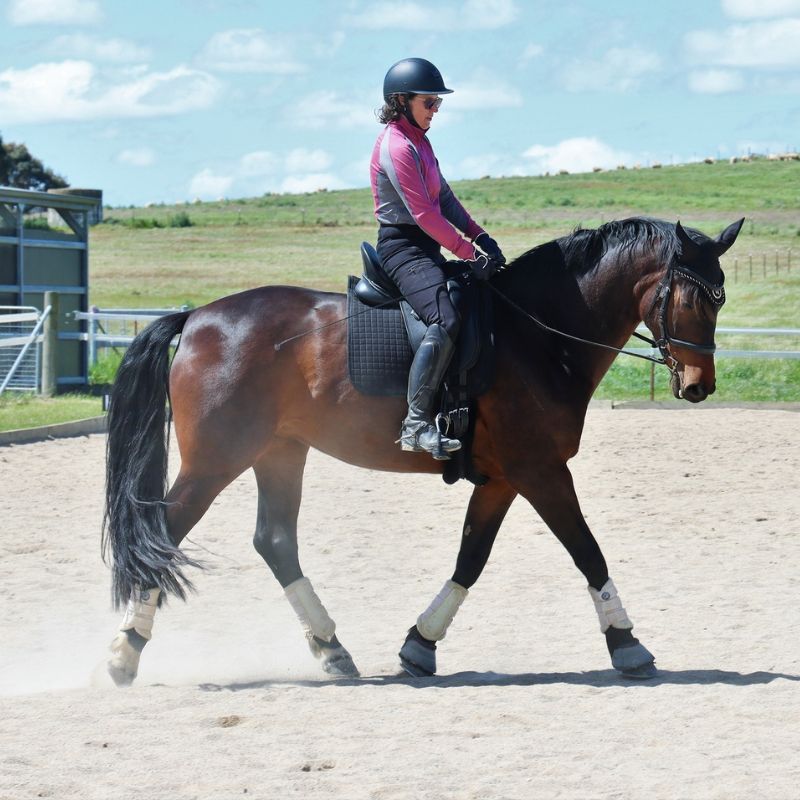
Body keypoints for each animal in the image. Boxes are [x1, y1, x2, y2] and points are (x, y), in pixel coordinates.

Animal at [104, 216, 744, 684]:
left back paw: (331, 648)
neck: (535, 336)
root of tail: (197, 317)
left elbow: (471, 559)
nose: (699, 386)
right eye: (700, 298)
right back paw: (124, 652)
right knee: (164, 536)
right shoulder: (541, 471)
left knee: (275, 541)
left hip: (280, 452)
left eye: (722, 297)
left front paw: (420, 645)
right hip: (216, 461)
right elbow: (588, 551)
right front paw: (628, 643)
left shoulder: (505, 478)